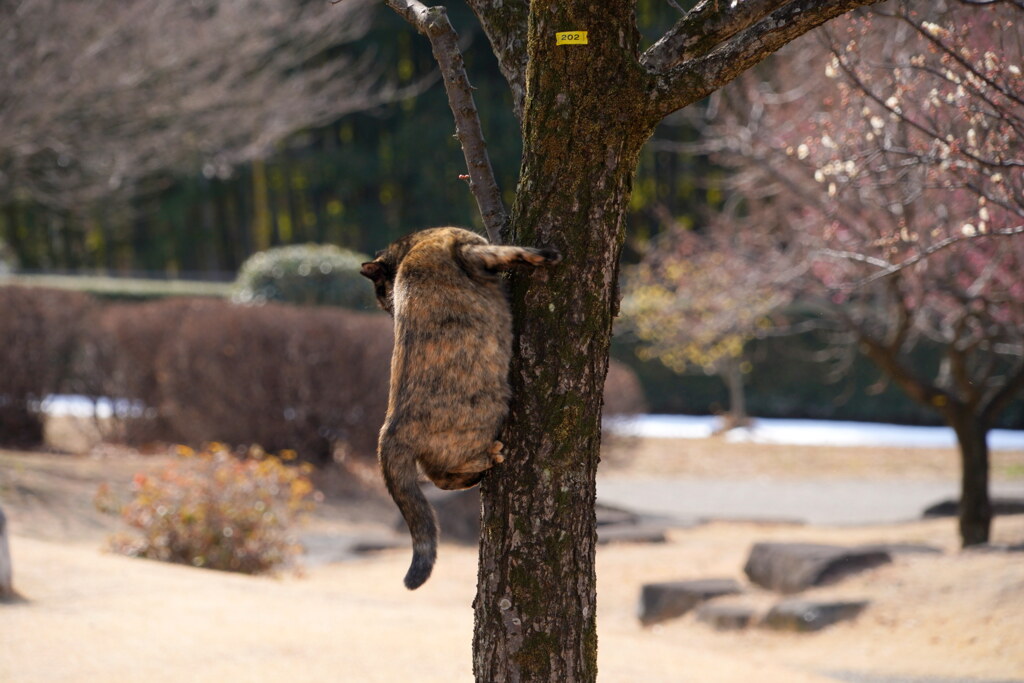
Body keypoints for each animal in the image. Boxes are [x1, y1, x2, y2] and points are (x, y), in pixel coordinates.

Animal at [360, 227, 561, 589]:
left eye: (385, 301)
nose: (390, 312)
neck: (416, 245)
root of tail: (389, 430)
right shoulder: (474, 250)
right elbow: (513, 251)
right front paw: (546, 255)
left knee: (437, 477)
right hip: (490, 409)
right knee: (442, 473)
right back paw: (488, 459)